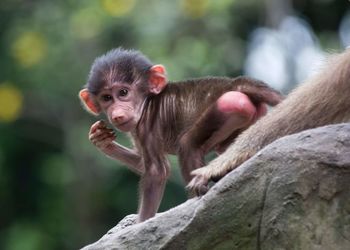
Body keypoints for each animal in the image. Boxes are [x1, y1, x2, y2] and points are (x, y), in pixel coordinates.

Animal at [79, 47, 284, 222]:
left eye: (123, 92)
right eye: (107, 98)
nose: (116, 112)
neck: (148, 103)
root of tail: (236, 83)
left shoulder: (147, 127)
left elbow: (157, 171)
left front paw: (141, 224)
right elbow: (142, 162)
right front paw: (102, 141)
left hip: (229, 104)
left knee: (188, 143)